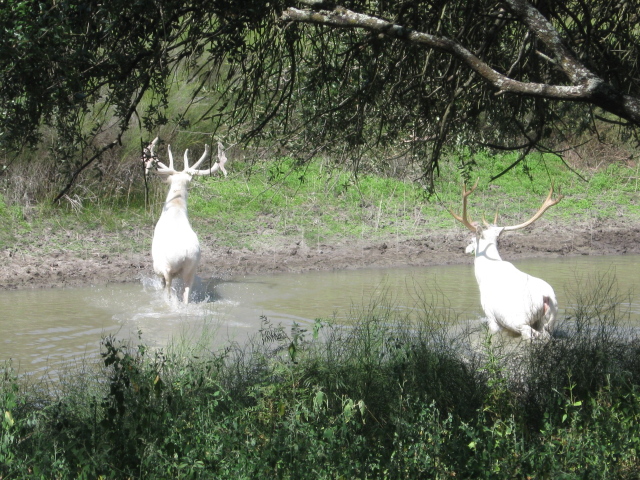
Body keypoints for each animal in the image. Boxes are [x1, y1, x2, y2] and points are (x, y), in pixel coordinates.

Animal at [144, 137, 229, 302]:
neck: (175, 207)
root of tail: (184, 255)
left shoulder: (158, 267)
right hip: (192, 268)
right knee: (186, 295)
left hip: (166, 267)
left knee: (169, 292)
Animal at [450, 181, 564, 342]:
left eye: (472, 240)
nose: (465, 249)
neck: (482, 275)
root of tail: (546, 297)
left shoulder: (490, 314)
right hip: (550, 321)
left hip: (518, 320)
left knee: (528, 334)